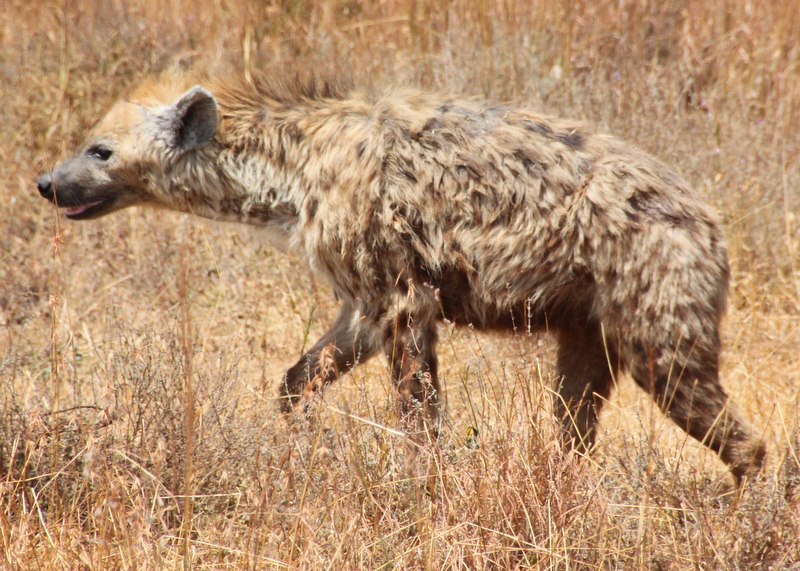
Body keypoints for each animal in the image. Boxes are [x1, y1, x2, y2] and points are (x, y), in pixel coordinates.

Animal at [37, 73, 766, 482]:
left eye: (100, 151)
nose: (45, 182)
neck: (293, 171)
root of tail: (711, 223)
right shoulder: (363, 301)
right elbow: (298, 378)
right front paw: (299, 444)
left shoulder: (403, 292)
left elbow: (420, 409)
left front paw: (424, 484)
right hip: (587, 327)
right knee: (574, 423)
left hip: (658, 318)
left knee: (740, 435)